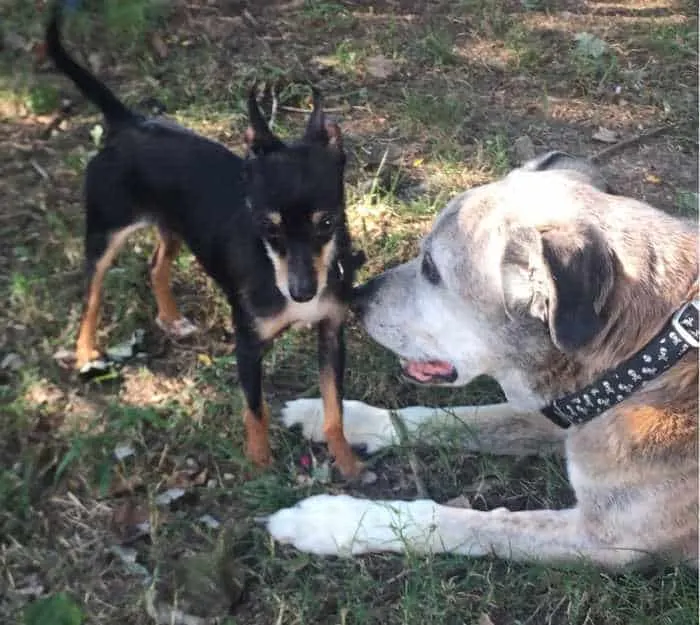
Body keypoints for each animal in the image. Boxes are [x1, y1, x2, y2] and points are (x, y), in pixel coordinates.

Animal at [45, 4, 366, 476]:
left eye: (327, 223)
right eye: (268, 227)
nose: (303, 292)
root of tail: (126, 122)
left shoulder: (330, 335)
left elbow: (334, 410)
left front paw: (346, 461)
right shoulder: (248, 347)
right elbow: (256, 410)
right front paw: (259, 463)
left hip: (173, 228)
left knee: (155, 265)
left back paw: (171, 317)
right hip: (104, 235)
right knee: (92, 296)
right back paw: (86, 354)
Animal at [266, 152, 696, 572]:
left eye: (432, 269)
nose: (356, 298)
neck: (646, 357)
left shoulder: (606, 541)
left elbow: (463, 523)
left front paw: (333, 522)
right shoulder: (566, 409)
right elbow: (454, 419)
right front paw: (343, 419)